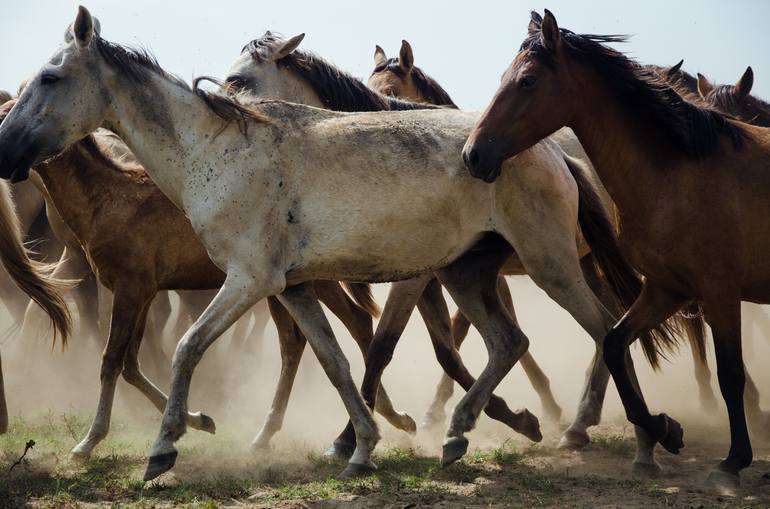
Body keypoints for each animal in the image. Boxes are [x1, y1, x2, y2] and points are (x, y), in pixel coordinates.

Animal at [0, 5, 664, 478]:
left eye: (51, 77)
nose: (5, 148)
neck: (217, 152)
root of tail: (548, 148)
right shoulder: (293, 289)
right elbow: (337, 360)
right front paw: (361, 445)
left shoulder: (247, 282)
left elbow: (188, 347)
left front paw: (164, 447)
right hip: (467, 274)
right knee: (509, 342)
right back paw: (462, 432)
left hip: (549, 266)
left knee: (606, 331)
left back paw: (638, 438)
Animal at [462, 9, 768, 490]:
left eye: (527, 81)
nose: (473, 154)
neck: (682, 172)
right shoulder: (667, 289)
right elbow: (613, 343)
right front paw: (665, 429)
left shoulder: (720, 292)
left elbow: (731, 374)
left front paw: (733, 461)